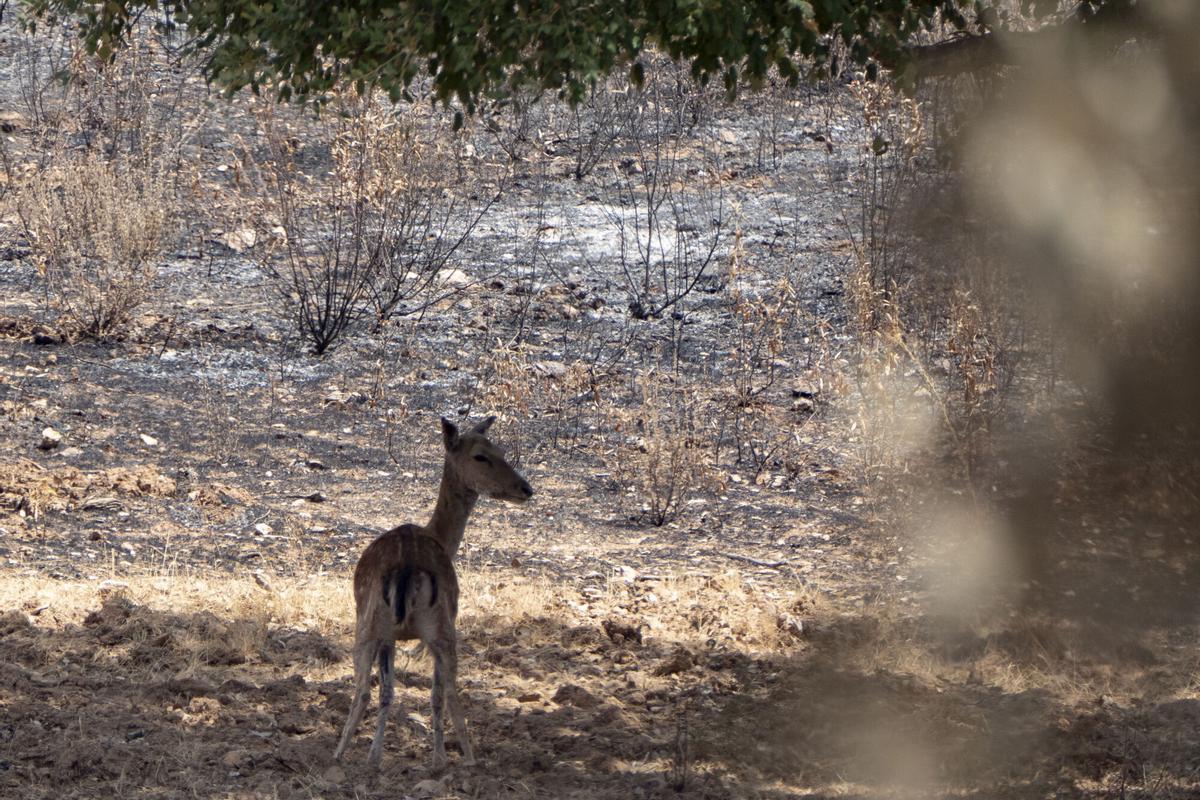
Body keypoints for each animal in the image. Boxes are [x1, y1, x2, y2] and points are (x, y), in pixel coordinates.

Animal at [333, 415, 533, 771]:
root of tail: (408, 567)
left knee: (368, 689)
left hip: (375, 625)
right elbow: (407, 691)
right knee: (445, 691)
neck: (438, 536)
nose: (526, 488)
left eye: (501, 450)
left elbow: (388, 690)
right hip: (435, 626)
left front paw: (375, 755)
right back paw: (461, 760)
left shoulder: (390, 635)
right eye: (481, 456)